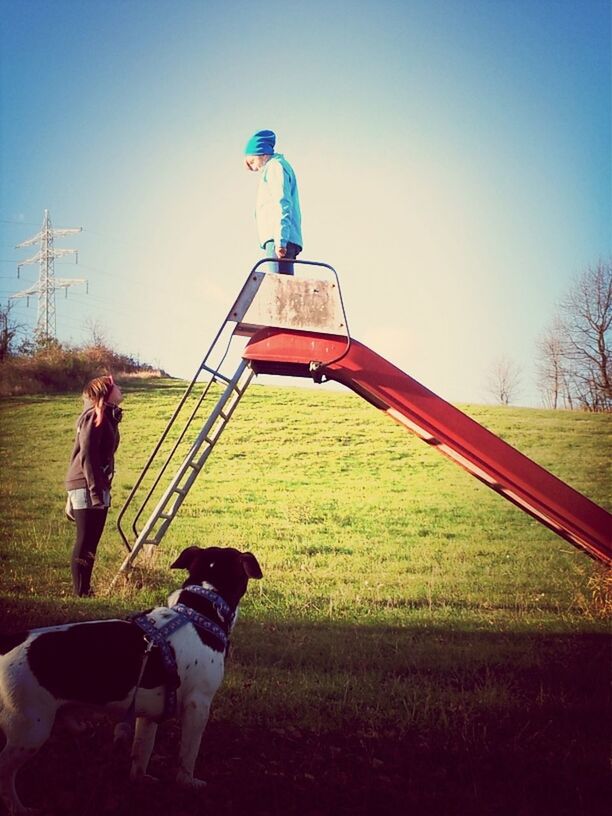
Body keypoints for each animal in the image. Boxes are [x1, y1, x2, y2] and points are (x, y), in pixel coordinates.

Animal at [0, 544, 260, 812]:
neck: (199, 612)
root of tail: (7, 643)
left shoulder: (150, 715)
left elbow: (142, 750)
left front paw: (140, 778)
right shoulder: (198, 706)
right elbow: (188, 753)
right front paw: (188, 782)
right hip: (30, 731)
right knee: (5, 774)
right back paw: (18, 808)